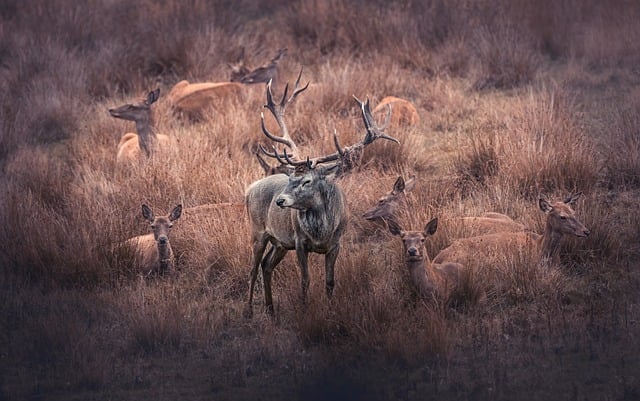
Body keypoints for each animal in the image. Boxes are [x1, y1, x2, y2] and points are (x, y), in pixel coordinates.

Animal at [245, 69, 400, 315]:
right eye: (290, 177)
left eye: (307, 180)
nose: (280, 200)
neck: (321, 232)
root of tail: (249, 189)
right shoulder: (299, 242)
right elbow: (305, 280)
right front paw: (305, 309)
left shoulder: (336, 244)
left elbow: (330, 281)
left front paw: (330, 311)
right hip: (258, 230)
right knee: (252, 268)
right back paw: (250, 311)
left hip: (280, 243)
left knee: (266, 265)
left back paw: (271, 309)